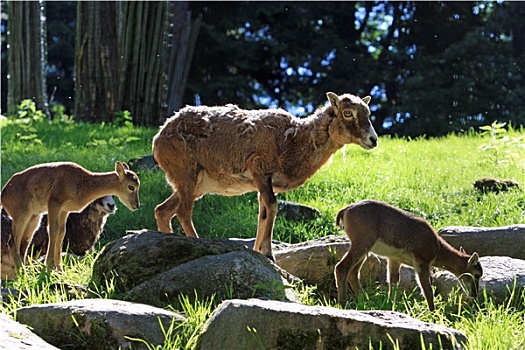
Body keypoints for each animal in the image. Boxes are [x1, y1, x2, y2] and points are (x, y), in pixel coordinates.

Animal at [0, 161, 139, 270]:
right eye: (131, 187)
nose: (136, 205)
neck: (82, 182)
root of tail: (3, 194)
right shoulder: (54, 204)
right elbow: (53, 230)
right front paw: (50, 266)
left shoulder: (64, 210)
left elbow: (61, 232)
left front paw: (59, 268)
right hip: (21, 215)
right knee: (13, 241)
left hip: (34, 218)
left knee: (25, 241)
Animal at [151, 91, 376, 258]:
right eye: (348, 113)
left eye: (367, 112)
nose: (373, 139)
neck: (292, 141)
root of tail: (158, 138)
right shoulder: (260, 170)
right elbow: (272, 206)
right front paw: (268, 254)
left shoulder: (263, 183)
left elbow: (263, 213)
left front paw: (258, 251)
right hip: (187, 175)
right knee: (183, 212)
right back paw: (197, 243)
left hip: (195, 184)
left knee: (162, 210)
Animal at [334, 200, 482, 312]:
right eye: (476, 274)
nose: (474, 294)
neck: (437, 248)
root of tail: (345, 210)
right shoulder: (422, 262)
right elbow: (427, 290)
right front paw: (432, 313)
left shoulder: (394, 259)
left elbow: (393, 280)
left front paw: (390, 304)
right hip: (362, 244)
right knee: (341, 267)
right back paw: (343, 303)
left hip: (364, 250)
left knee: (353, 272)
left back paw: (364, 300)